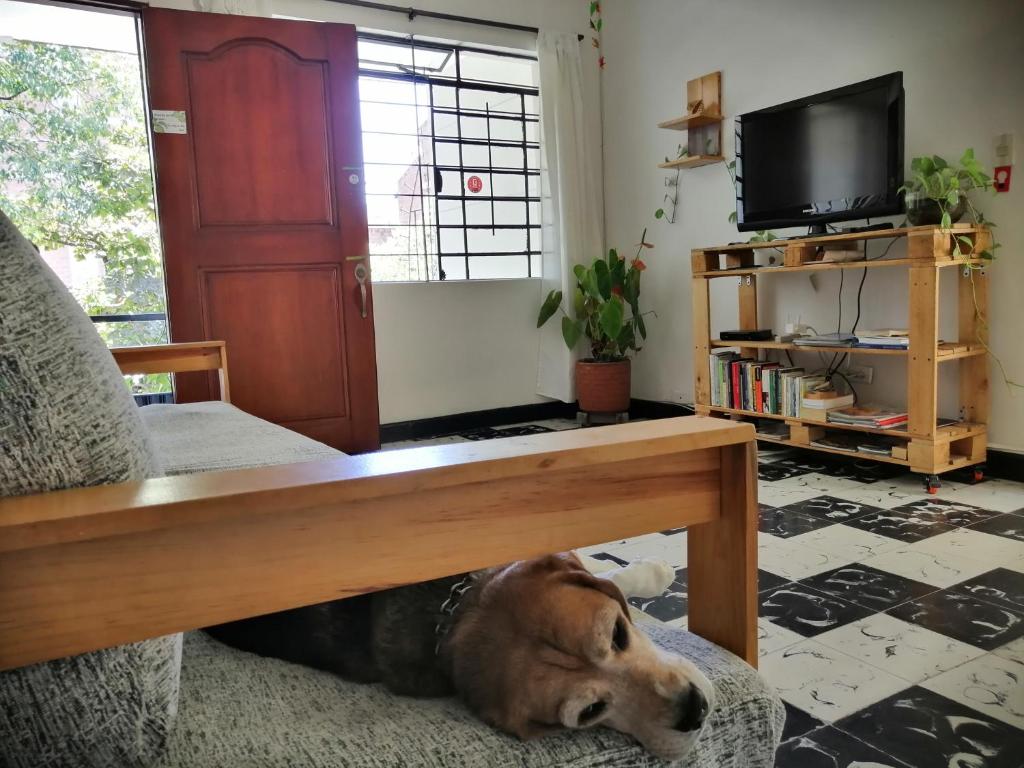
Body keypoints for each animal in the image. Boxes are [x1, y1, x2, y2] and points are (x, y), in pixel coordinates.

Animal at [206, 552, 712, 765]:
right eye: (590, 711)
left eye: (617, 632)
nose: (695, 712)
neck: (454, 610)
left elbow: (606, 573)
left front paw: (647, 572)